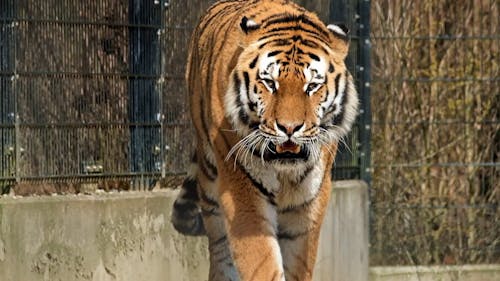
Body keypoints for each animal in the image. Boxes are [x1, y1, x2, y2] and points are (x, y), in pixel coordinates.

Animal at [172, 0, 360, 280]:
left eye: (312, 86)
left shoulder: (310, 200)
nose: (289, 128)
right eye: (270, 83)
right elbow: (262, 261)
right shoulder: (243, 192)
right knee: (219, 247)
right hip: (211, 183)